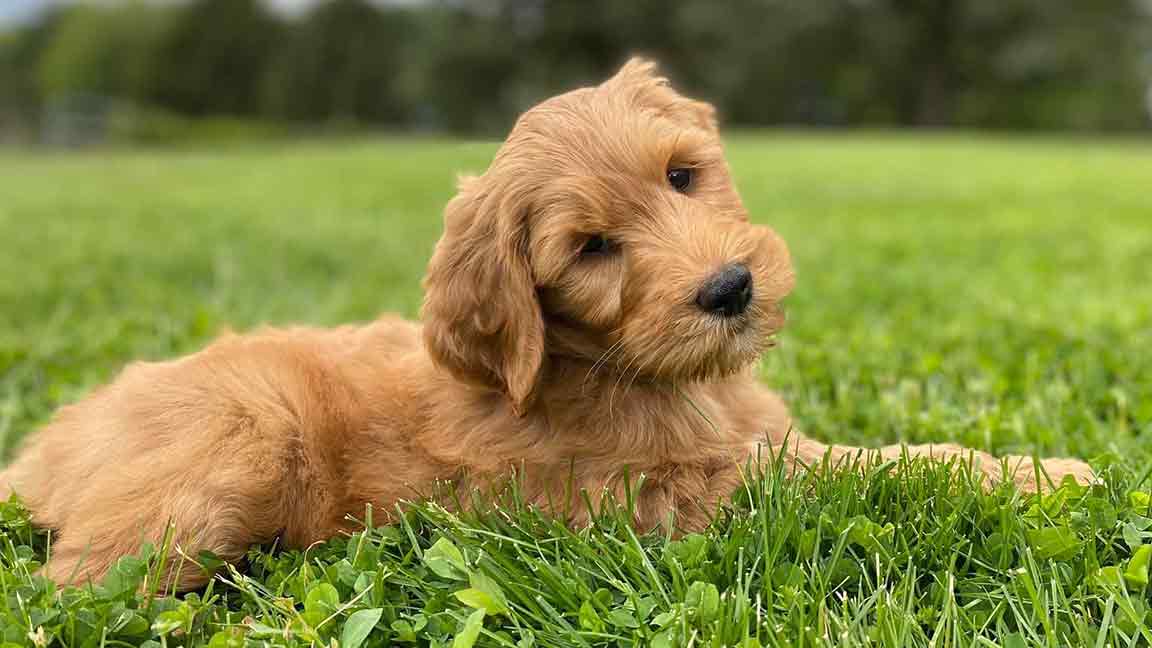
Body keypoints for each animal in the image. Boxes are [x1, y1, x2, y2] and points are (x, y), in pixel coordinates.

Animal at [2, 57, 1096, 588]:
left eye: (683, 176)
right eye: (593, 250)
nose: (730, 289)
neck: (617, 368)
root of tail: (43, 446)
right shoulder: (675, 499)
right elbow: (884, 469)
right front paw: (1048, 476)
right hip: (237, 442)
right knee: (77, 588)